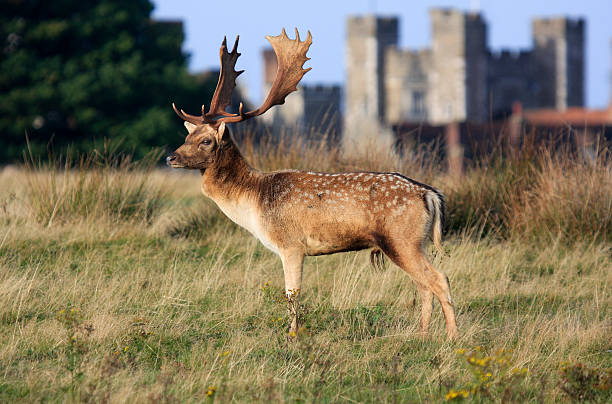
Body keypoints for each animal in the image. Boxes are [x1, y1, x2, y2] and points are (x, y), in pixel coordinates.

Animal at [167, 29, 460, 338]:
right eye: (187, 136)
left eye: (206, 141)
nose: (171, 157)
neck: (254, 201)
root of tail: (430, 195)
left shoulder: (291, 244)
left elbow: (292, 294)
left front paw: (292, 336)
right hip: (412, 242)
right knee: (424, 286)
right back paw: (422, 334)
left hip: (402, 238)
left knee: (439, 279)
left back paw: (452, 339)